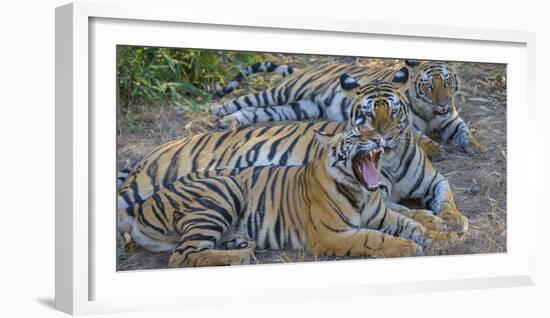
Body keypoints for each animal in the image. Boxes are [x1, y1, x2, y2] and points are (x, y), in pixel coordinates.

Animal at [117, 79, 470, 234]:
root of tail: (150, 153)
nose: (380, 137)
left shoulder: (434, 179)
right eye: (368, 115)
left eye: (394, 112)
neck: (392, 159)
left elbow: (448, 195)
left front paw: (454, 218)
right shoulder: (375, 196)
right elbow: (405, 209)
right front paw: (432, 220)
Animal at [117, 125, 458, 268]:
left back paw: (240, 245)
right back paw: (240, 257)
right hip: (223, 191)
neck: (360, 192)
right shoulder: (332, 235)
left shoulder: (385, 215)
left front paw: (446, 238)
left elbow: (414, 225)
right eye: (355, 135)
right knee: (182, 255)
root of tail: (141, 207)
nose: (378, 138)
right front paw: (408, 247)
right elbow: (373, 238)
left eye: (373, 131)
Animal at [213, 60, 486, 157]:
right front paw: (436, 149)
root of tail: (308, 68)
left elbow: (465, 131)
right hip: (284, 92)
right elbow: (421, 138)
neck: (431, 113)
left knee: (256, 112)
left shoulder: (452, 121)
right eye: (429, 86)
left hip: (297, 108)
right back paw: (220, 111)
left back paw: (230, 121)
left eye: (447, 83)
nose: (443, 104)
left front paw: (476, 147)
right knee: (247, 99)